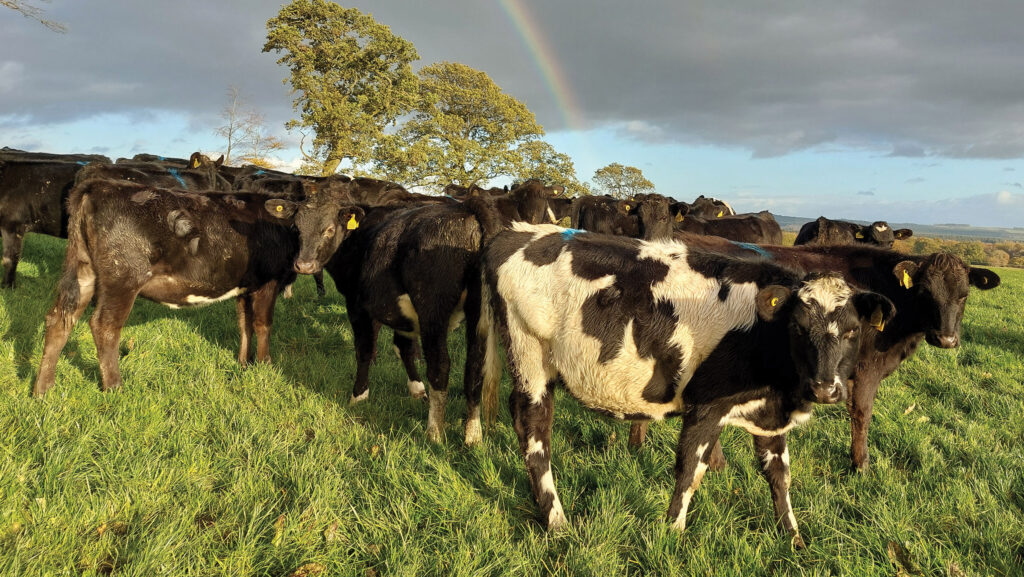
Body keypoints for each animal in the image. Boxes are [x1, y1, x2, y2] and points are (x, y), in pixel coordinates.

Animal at [32, 178, 361, 396]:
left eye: (329, 228)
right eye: (298, 226)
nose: (304, 265)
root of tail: (99, 184)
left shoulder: (245, 285)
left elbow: (244, 324)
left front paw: (243, 364)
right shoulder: (267, 283)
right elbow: (263, 323)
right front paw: (266, 365)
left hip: (82, 270)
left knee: (60, 319)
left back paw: (42, 389)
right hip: (122, 277)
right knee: (105, 326)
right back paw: (115, 387)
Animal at [474, 224, 895, 546]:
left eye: (853, 330)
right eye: (799, 327)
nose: (825, 389)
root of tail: (513, 232)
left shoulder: (769, 414)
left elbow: (780, 475)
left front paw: (793, 538)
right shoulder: (705, 407)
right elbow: (691, 471)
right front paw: (672, 534)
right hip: (530, 361)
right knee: (534, 430)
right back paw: (557, 521)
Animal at [629, 235, 1001, 470]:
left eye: (965, 294)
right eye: (925, 292)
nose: (946, 339)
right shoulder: (866, 369)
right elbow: (862, 414)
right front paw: (861, 465)